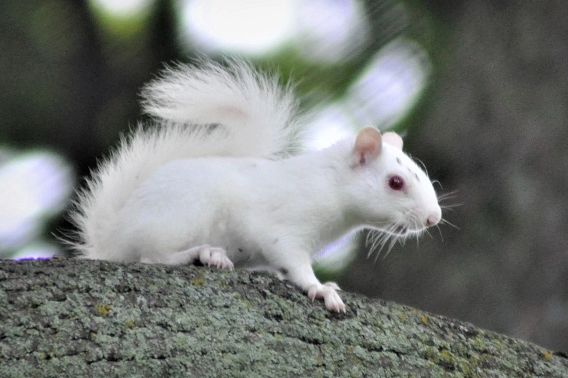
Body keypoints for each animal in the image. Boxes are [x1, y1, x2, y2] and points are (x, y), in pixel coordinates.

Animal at [70, 59, 444, 314]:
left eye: (421, 174)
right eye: (395, 182)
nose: (433, 218)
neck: (329, 185)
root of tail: (114, 235)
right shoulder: (284, 230)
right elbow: (294, 264)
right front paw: (322, 290)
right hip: (179, 217)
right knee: (152, 256)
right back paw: (204, 254)